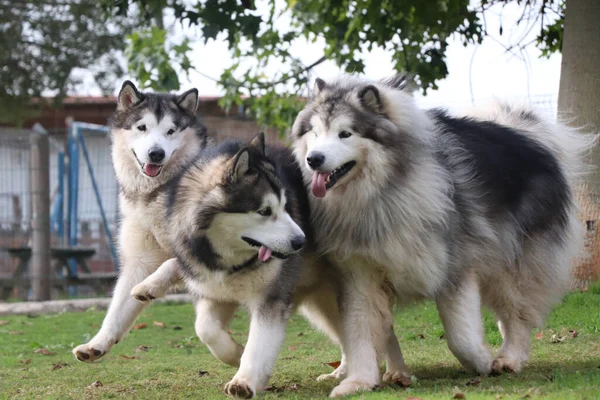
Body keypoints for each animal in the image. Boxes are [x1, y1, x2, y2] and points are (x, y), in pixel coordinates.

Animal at [72, 81, 210, 362]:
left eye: (170, 131)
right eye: (142, 127)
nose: (156, 154)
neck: (155, 194)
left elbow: (171, 262)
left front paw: (151, 285)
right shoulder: (139, 259)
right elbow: (117, 311)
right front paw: (97, 344)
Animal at [292, 75, 596, 396]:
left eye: (345, 133)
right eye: (314, 133)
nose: (313, 159)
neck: (380, 194)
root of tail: (528, 136)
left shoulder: (453, 270)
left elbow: (461, 337)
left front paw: (483, 362)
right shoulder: (360, 277)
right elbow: (360, 332)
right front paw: (359, 381)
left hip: (513, 264)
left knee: (517, 315)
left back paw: (509, 357)